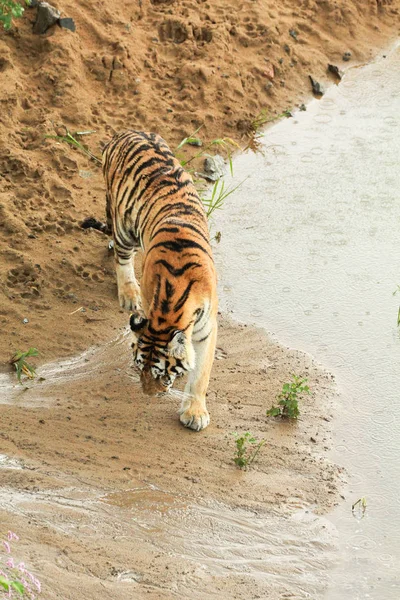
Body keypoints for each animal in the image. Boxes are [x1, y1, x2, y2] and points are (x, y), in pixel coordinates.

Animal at [82, 131, 219, 432]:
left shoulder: (207, 329)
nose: (149, 394)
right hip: (125, 227)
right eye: (138, 366)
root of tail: (122, 134)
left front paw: (194, 413)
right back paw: (127, 294)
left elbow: (201, 375)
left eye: (160, 373)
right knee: (122, 260)